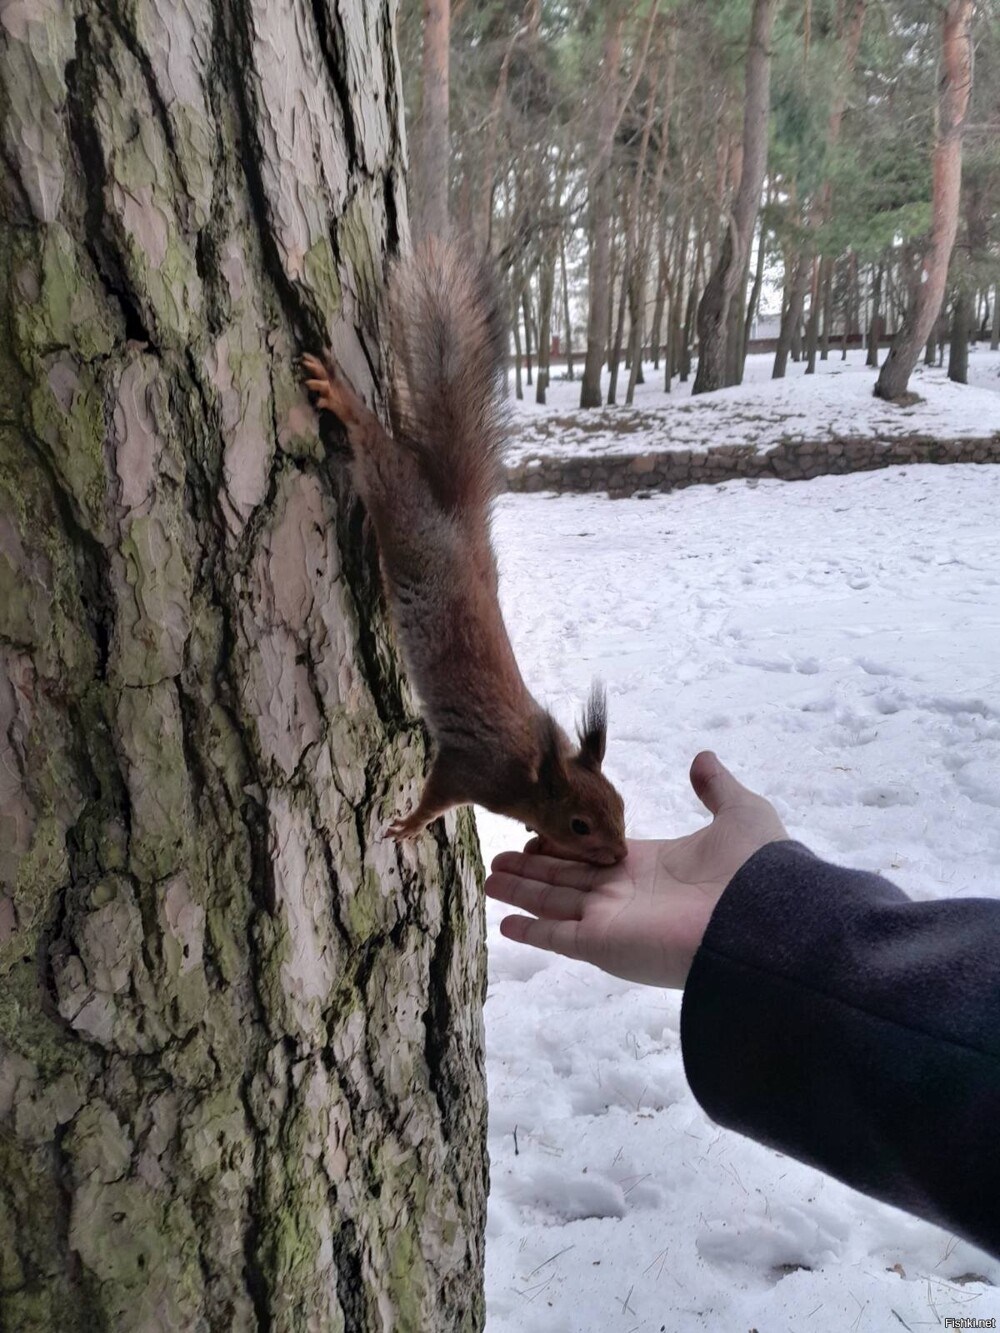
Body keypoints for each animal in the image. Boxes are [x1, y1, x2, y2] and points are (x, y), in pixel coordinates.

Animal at [301, 237, 626, 863]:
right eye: (579, 825)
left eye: (620, 806)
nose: (621, 856)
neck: (532, 771)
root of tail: (458, 526)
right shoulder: (471, 769)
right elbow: (437, 798)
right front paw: (410, 825)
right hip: (406, 516)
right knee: (384, 459)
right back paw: (341, 397)